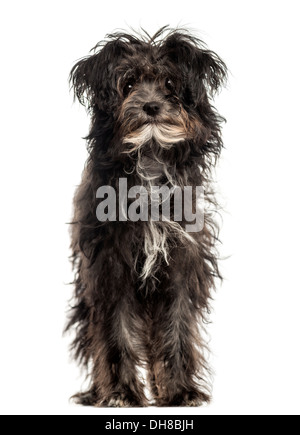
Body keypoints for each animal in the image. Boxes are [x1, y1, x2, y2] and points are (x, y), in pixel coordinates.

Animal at [67, 28, 227, 408]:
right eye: (128, 84)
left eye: (170, 83)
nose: (151, 106)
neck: (151, 159)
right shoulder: (110, 268)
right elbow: (116, 334)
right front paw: (121, 393)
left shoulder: (182, 265)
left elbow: (177, 329)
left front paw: (180, 391)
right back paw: (96, 392)